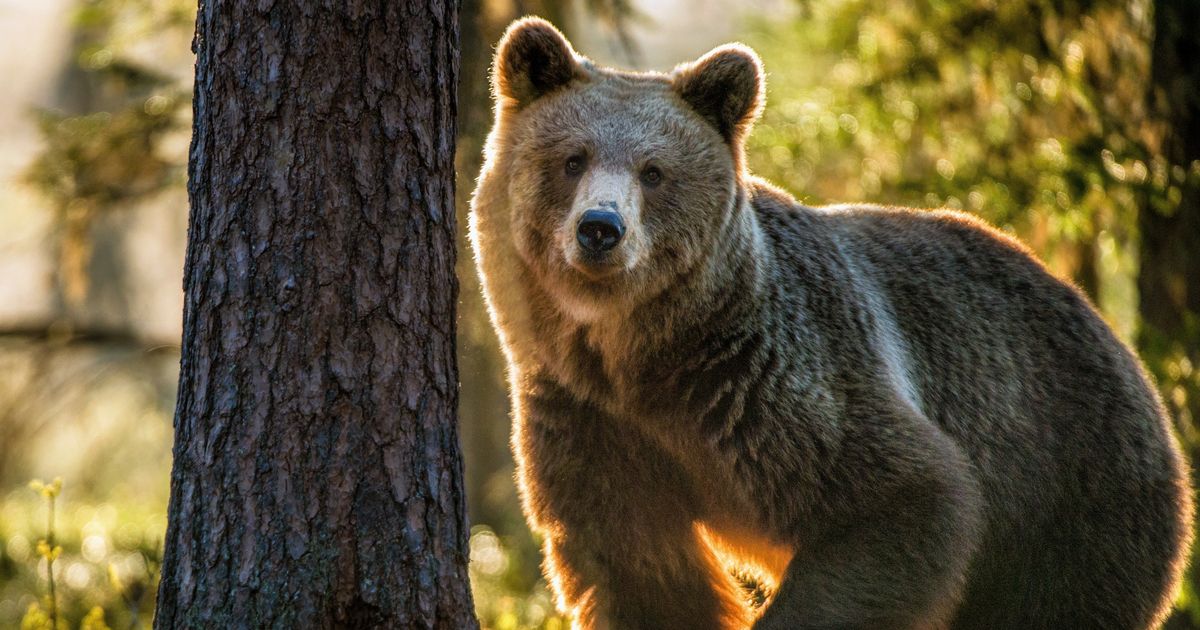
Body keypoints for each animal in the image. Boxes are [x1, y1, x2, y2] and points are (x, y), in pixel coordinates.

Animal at [465, 15, 1190, 628]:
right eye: (572, 159)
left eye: (654, 171)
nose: (600, 228)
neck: (640, 356)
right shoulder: (590, 421)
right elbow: (638, 568)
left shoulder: (770, 382)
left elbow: (901, 498)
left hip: (1067, 489)